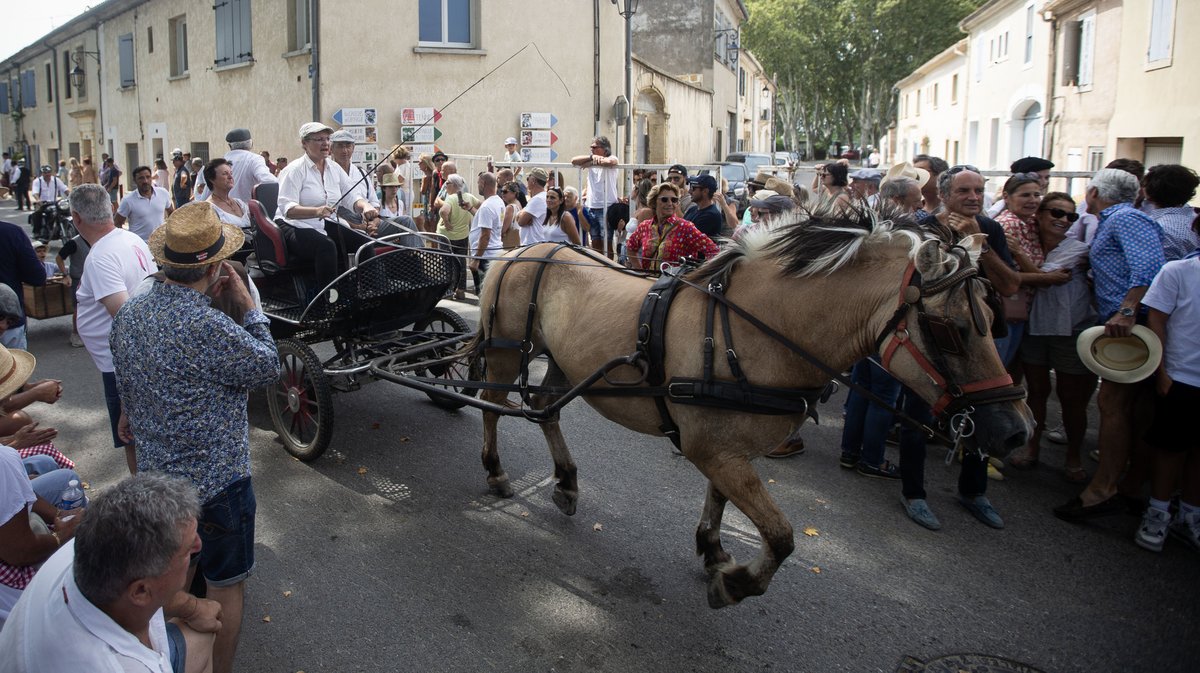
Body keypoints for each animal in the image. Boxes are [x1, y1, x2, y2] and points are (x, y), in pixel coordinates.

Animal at [468, 208, 1032, 609]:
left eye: (994, 320)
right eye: (950, 330)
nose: (1014, 430)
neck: (757, 329)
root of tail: (517, 253)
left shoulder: (728, 450)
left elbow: (722, 500)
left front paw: (713, 550)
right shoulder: (715, 450)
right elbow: (781, 538)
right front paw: (735, 584)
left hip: (562, 360)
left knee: (545, 408)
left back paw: (565, 481)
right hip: (506, 351)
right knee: (492, 407)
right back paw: (495, 472)